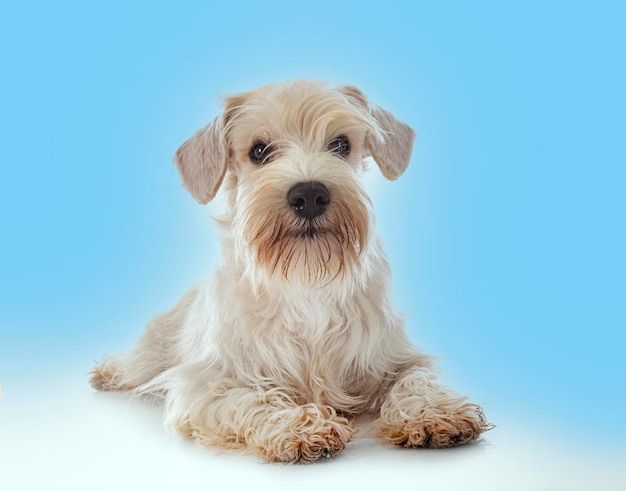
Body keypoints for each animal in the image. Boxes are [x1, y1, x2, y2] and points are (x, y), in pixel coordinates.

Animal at [91, 79, 492, 464]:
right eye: (258, 151)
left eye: (341, 144)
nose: (310, 195)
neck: (304, 279)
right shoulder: (207, 382)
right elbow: (254, 398)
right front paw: (299, 427)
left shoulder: (394, 358)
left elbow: (416, 379)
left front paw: (434, 413)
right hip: (153, 350)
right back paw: (106, 372)